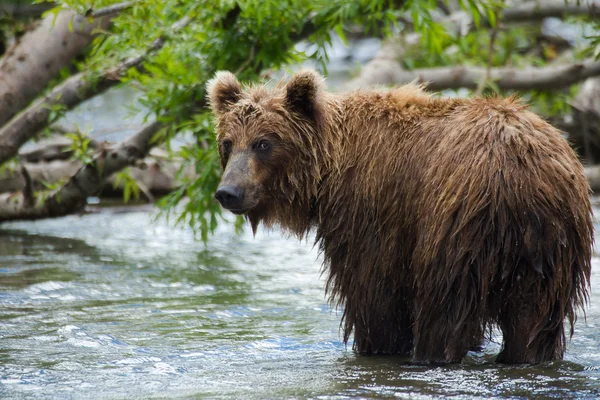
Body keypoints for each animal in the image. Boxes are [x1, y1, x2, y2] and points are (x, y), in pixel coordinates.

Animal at [209, 69, 592, 366]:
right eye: (228, 142)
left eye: (263, 143)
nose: (228, 192)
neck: (330, 170)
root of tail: (518, 176)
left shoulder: (372, 213)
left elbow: (375, 298)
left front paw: (377, 345)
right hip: (549, 247)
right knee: (532, 321)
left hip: (456, 227)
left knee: (444, 308)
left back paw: (431, 355)